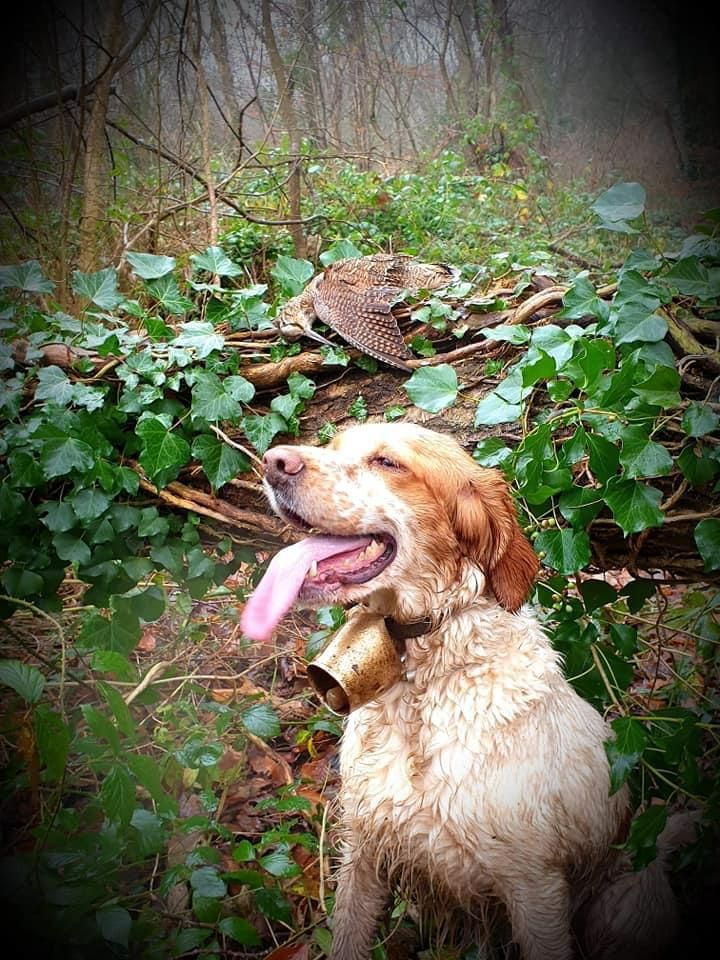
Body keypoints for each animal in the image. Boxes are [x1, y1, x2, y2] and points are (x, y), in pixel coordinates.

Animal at [242, 422, 688, 960]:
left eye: (388, 462)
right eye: (331, 447)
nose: (273, 461)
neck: (421, 680)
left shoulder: (535, 886)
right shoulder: (363, 850)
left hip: (618, 907)